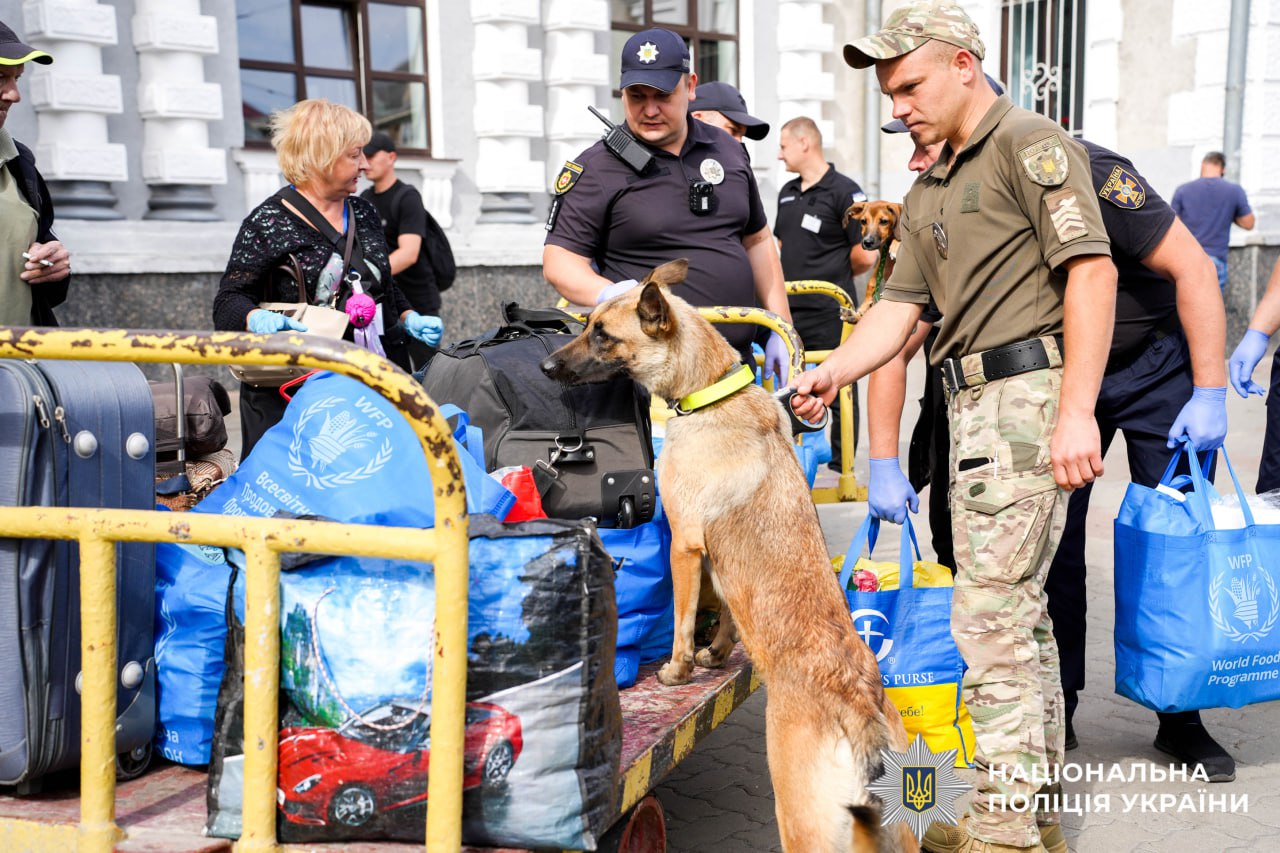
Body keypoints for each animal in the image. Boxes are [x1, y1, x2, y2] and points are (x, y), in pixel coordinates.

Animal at [541, 260, 916, 853]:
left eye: (602, 333)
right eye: (590, 324)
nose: (546, 365)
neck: (711, 393)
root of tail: (858, 707)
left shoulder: (685, 544)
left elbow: (682, 618)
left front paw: (677, 670)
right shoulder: (717, 561)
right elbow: (726, 617)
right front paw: (716, 654)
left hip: (802, 824)